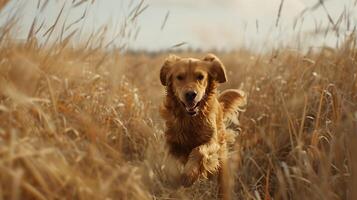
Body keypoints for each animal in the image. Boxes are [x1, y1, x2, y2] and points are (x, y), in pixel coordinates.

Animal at [159, 53, 245, 200]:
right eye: (179, 77)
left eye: (200, 76)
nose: (190, 94)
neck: (190, 120)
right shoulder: (171, 141)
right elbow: (170, 162)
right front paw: (174, 178)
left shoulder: (213, 142)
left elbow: (198, 150)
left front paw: (189, 175)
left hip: (221, 158)